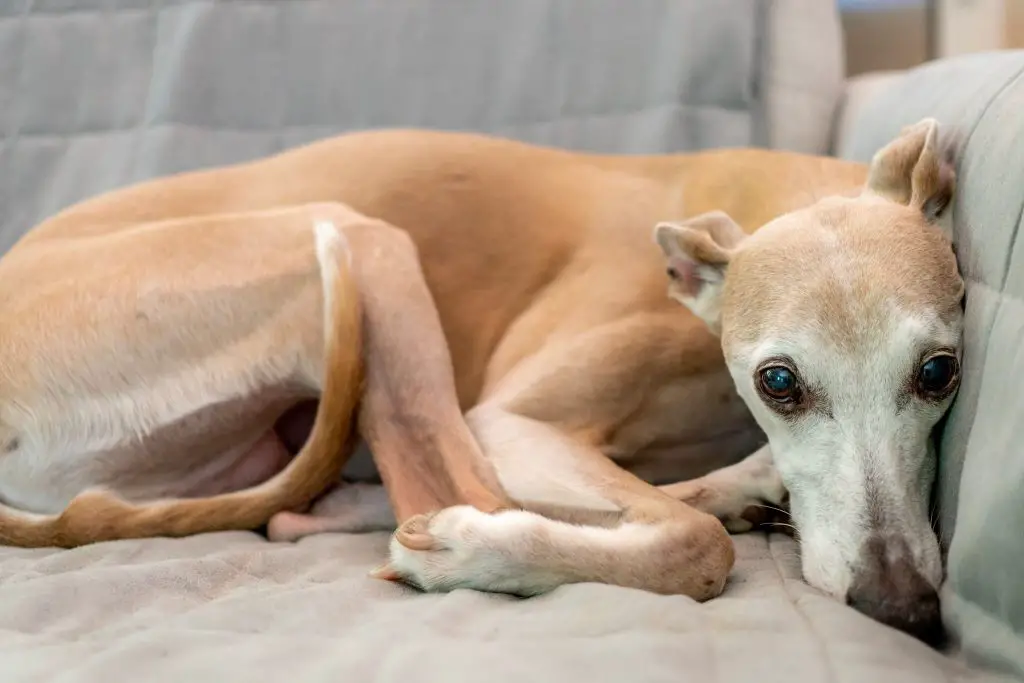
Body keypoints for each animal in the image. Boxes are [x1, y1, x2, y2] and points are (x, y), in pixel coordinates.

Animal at [0, 117, 958, 647]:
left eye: (939, 370)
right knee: (457, 484)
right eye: (779, 380)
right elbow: (690, 546)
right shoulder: (515, 418)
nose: (901, 603)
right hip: (361, 241)